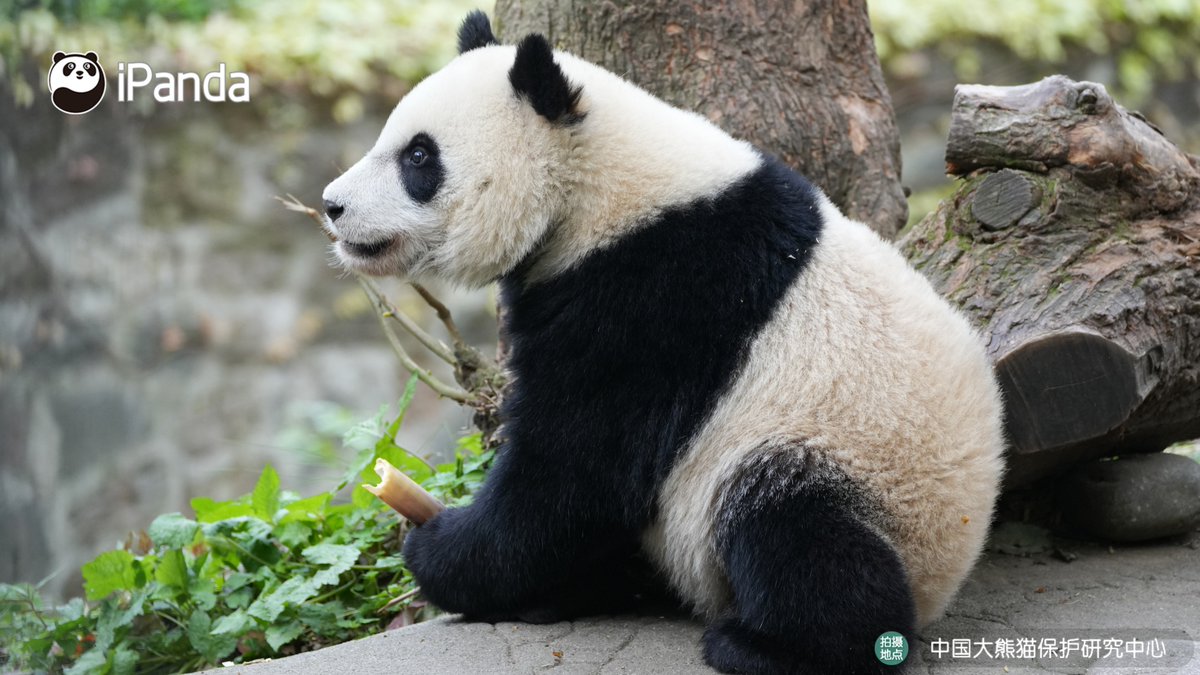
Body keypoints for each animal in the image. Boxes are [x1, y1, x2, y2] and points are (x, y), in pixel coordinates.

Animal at [322, 11, 1004, 674]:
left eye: (418, 157)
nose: (332, 205)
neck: (599, 186)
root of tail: (948, 575)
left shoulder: (663, 292)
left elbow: (578, 468)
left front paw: (437, 552)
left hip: (854, 466)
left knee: (795, 529)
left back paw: (769, 647)